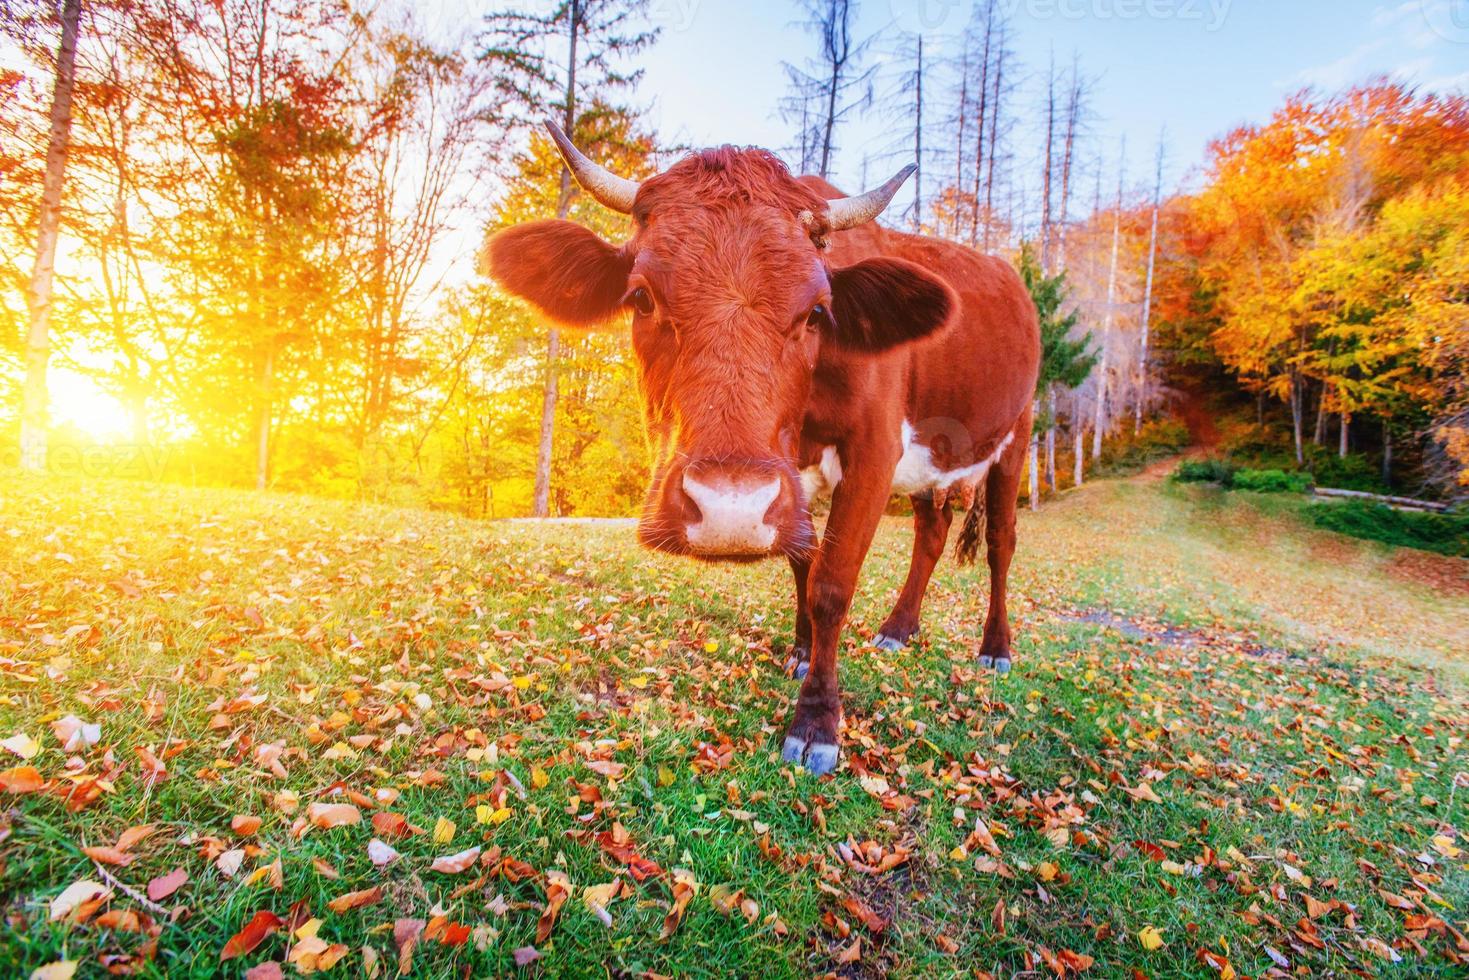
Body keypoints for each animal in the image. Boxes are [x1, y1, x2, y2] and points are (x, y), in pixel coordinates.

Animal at [487, 126, 1040, 775]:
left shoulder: (874, 453)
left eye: (818, 311)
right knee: (931, 532)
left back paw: (995, 647)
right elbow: (803, 561)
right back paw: (899, 629)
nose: (729, 510)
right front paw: (801, 650)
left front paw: (817, 721)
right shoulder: (792, 476)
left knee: (1002, 541)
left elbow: (832, 584)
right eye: (641, 298)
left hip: (1017, 433)